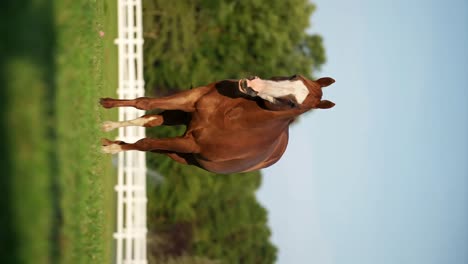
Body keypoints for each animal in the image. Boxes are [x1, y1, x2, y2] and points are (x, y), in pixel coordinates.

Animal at [100, 75, 334, 173]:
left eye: (292, 103)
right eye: (294, 75)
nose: (253, 83)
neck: (234, 118)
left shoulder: (190, 143)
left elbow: (145, 143)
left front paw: (111, 148)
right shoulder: (192, 99)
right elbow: (144, 103)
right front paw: (106, 104)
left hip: (180, 153)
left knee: (148, 141)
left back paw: (112, 145)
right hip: (181, 117)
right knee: (149, 120)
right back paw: (109, 130)